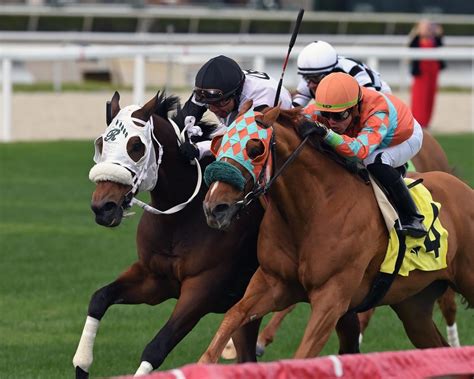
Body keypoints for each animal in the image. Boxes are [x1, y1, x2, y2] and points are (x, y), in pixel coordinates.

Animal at [72, 91, 262, 378]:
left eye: (136, 146)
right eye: (101, 144)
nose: (102, 207)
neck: (181, 219)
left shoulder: (204, 287)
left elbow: (157, 346)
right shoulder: (155, 279)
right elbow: (99, 298)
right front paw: (81, 364)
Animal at [201, 103, 474, 362]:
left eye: (255, 148)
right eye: (219, 142)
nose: (215, 208)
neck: (315, 208)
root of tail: (463, 188)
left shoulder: (332, 298)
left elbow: (303, 355)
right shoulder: (273, 283)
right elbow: (230, 319)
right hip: (414, 305)